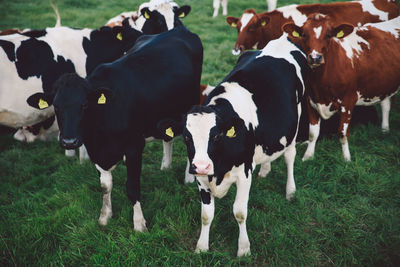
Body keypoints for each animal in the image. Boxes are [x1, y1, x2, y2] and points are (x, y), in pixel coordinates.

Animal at [26, 26, 203, 232]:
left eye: (84, 105)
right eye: (56, 106)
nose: (69, 141)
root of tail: (179, 29)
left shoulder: (134, 147)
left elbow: (132, 187)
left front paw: (139, 224)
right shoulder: (95, 151)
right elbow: (105, 186)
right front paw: (105, 216)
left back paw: (188, 178)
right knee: (168, 138)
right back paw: (165, 167)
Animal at [160, 33, 310, 258]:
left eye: (216, 136)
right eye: (186, 137)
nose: (201, 166)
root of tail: (282, 40)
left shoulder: (244, 174)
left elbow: (239, 212)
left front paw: (244, 248)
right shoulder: (202, 179)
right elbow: (206, 215)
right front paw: (202, 246)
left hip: (295, 125)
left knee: (289, 157)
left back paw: (290, 191)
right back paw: (265, 169)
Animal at [282, 14, 400, 162]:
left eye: (328, 35)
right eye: (304, 34)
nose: (315, 58)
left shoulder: (348, 100)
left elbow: (342, 133)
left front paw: (346, 158)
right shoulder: (311, 99)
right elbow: (313, 133)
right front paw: (308, 156)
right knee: (385, 104)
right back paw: (385, 129)